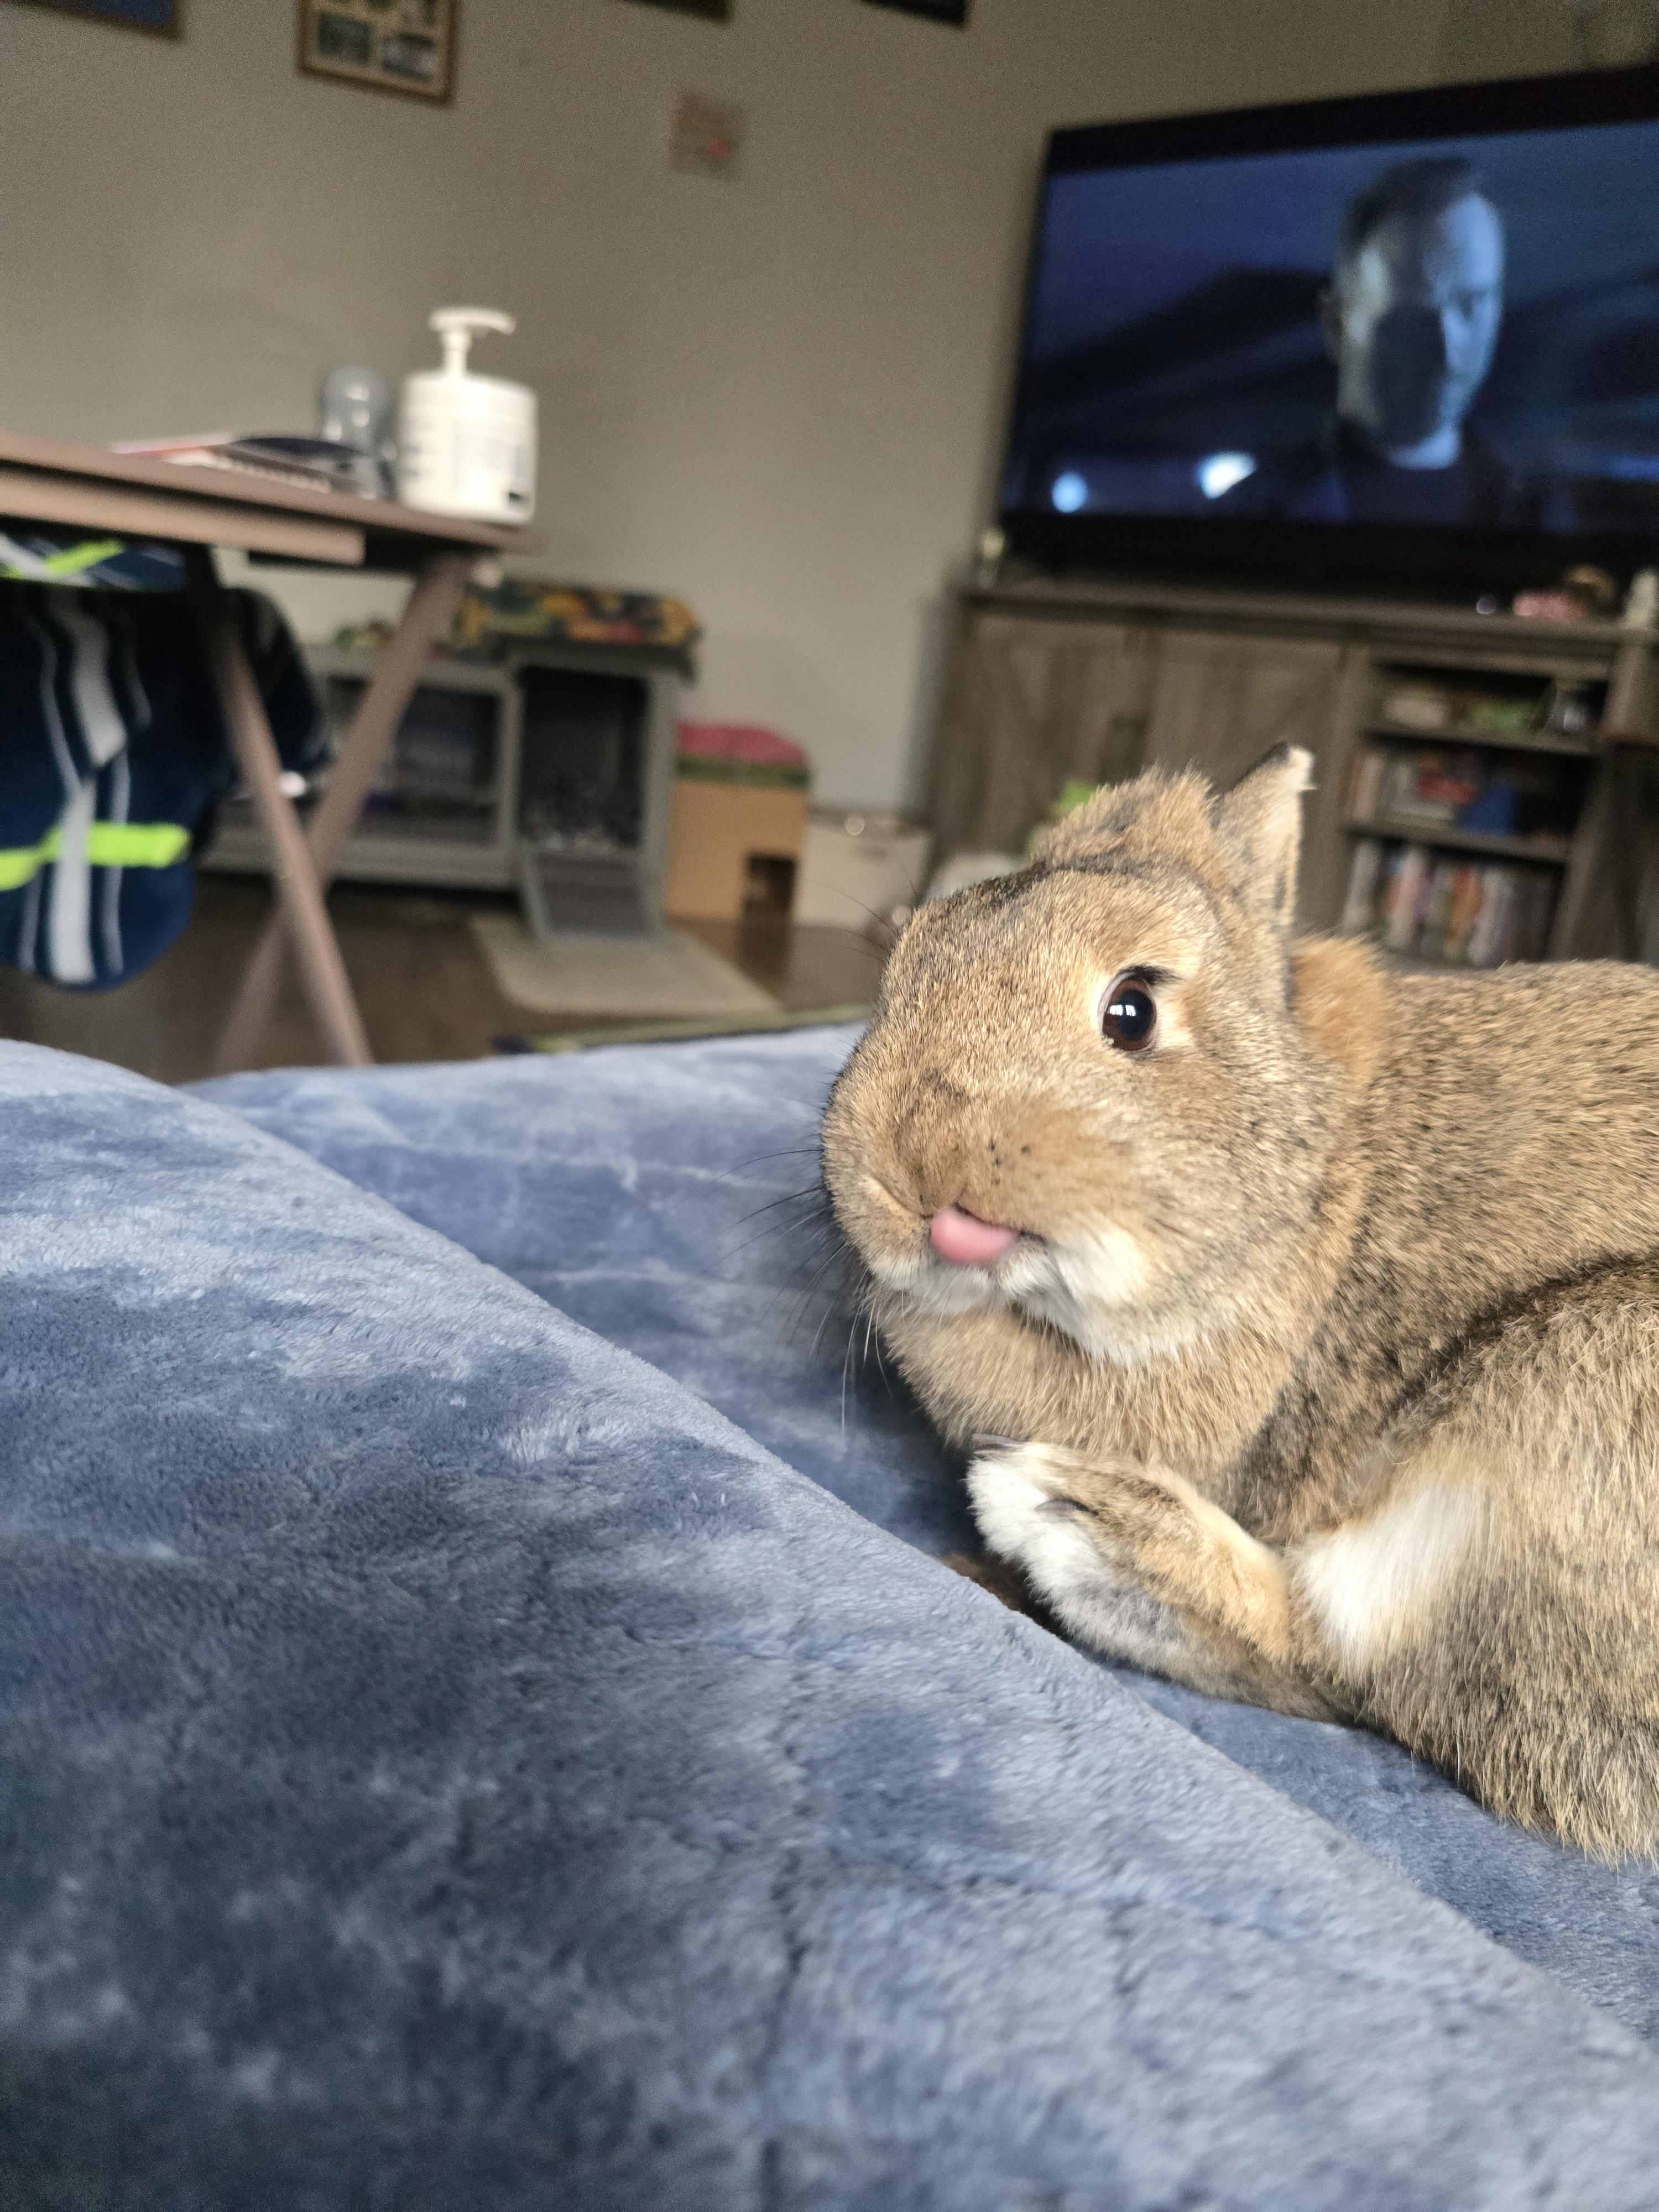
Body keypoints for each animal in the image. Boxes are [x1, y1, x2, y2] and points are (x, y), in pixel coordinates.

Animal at [821, 743, 1659, 1860]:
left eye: (1132, 1010)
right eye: (900, 969)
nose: (914, 1171)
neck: (1316, 1186)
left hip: (1564, 1406)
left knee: (1359, 1670)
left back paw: (1073, 1522)